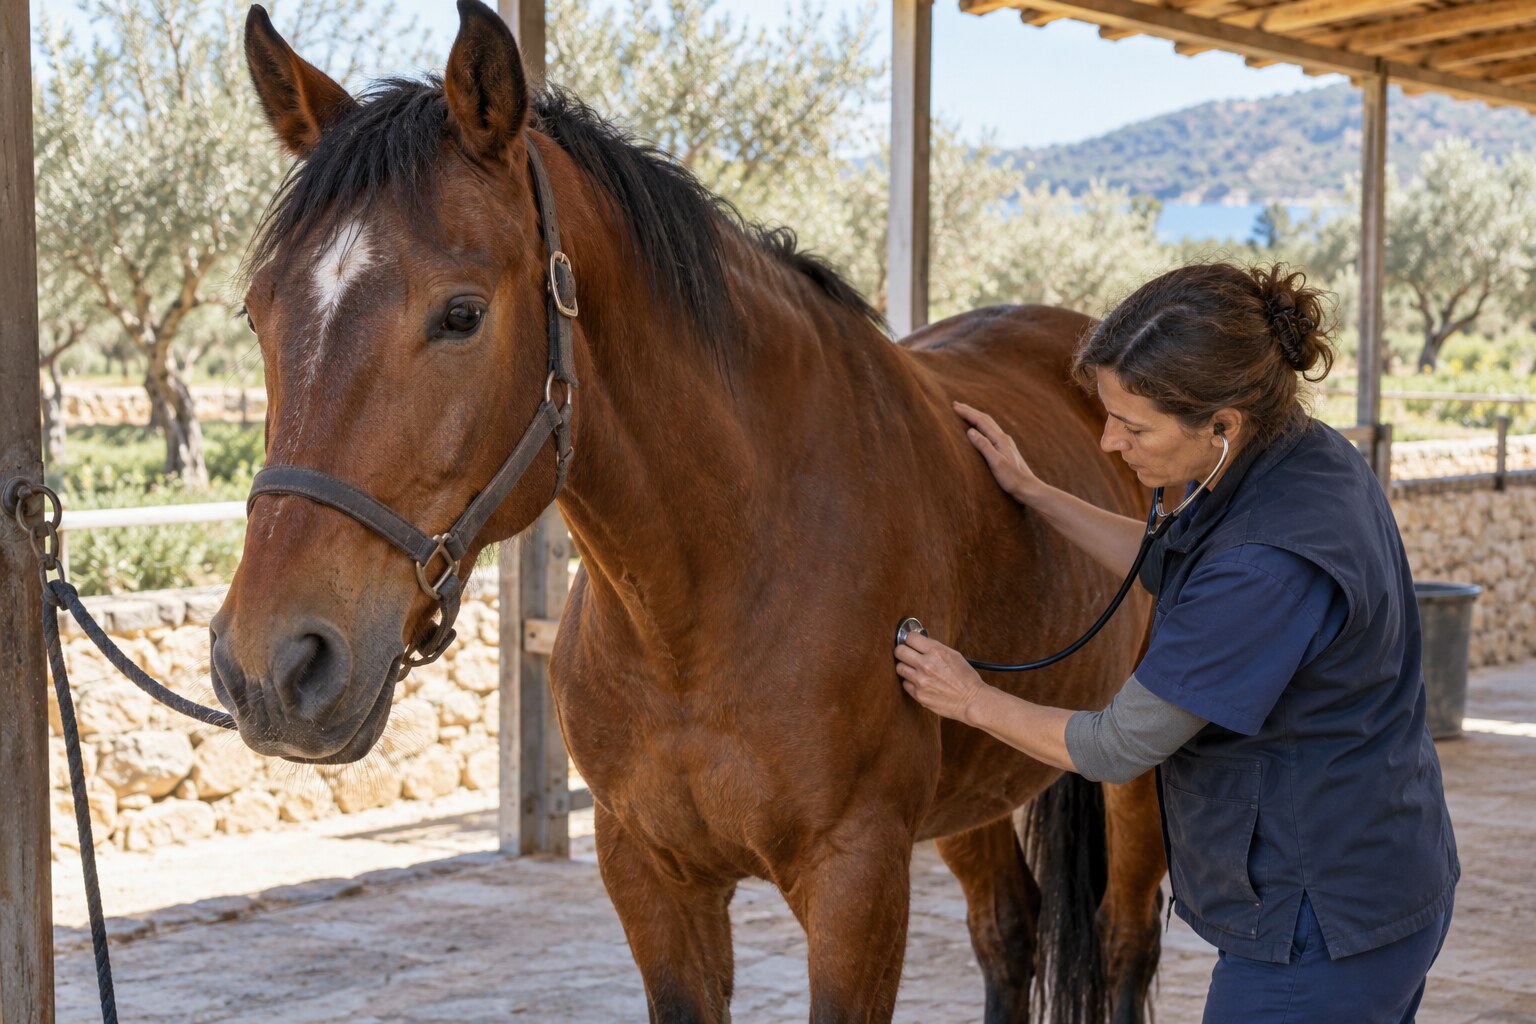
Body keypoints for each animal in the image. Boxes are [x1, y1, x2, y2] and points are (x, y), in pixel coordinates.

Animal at [215, 3, 1166, 1021]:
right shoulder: (651, 877)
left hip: (1133, 777)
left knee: (1123, 944)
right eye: (258, 314)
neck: (707, 602)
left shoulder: (858, 882)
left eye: (461, 314)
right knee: (1008, 931)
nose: (270, 666)